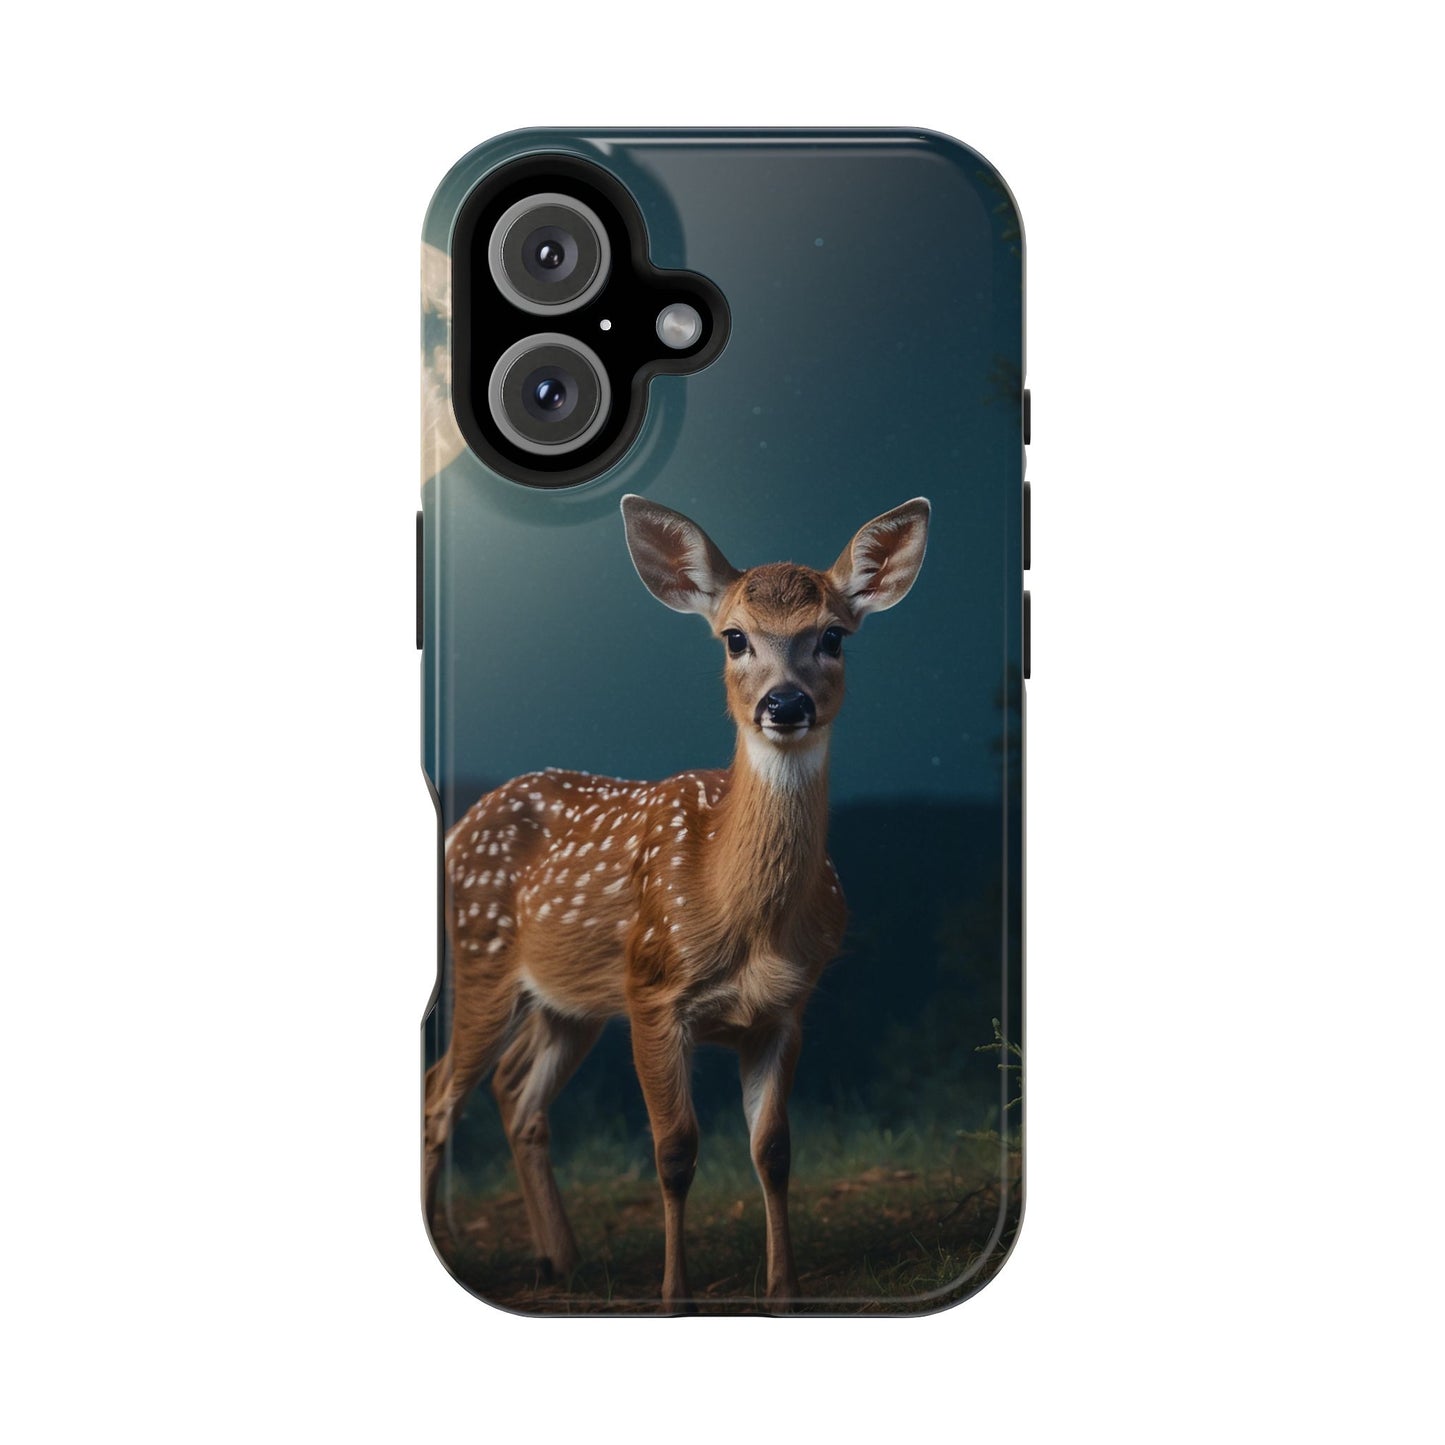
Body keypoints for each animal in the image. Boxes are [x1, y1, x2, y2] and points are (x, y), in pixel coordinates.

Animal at [424, 492, 930, 1309]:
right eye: (734, 637)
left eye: (832, 636)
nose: (784, 703)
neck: (743, 915)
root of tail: (459, 828)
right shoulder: (654, 993)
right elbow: (673, 1150)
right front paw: (675, 1296)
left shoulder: (785, 1009)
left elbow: (774, 1150)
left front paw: (783, 1293)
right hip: (483, 957)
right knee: (441, 1094)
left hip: (571, 999)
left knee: (515, 1092)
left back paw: (559, 1260)